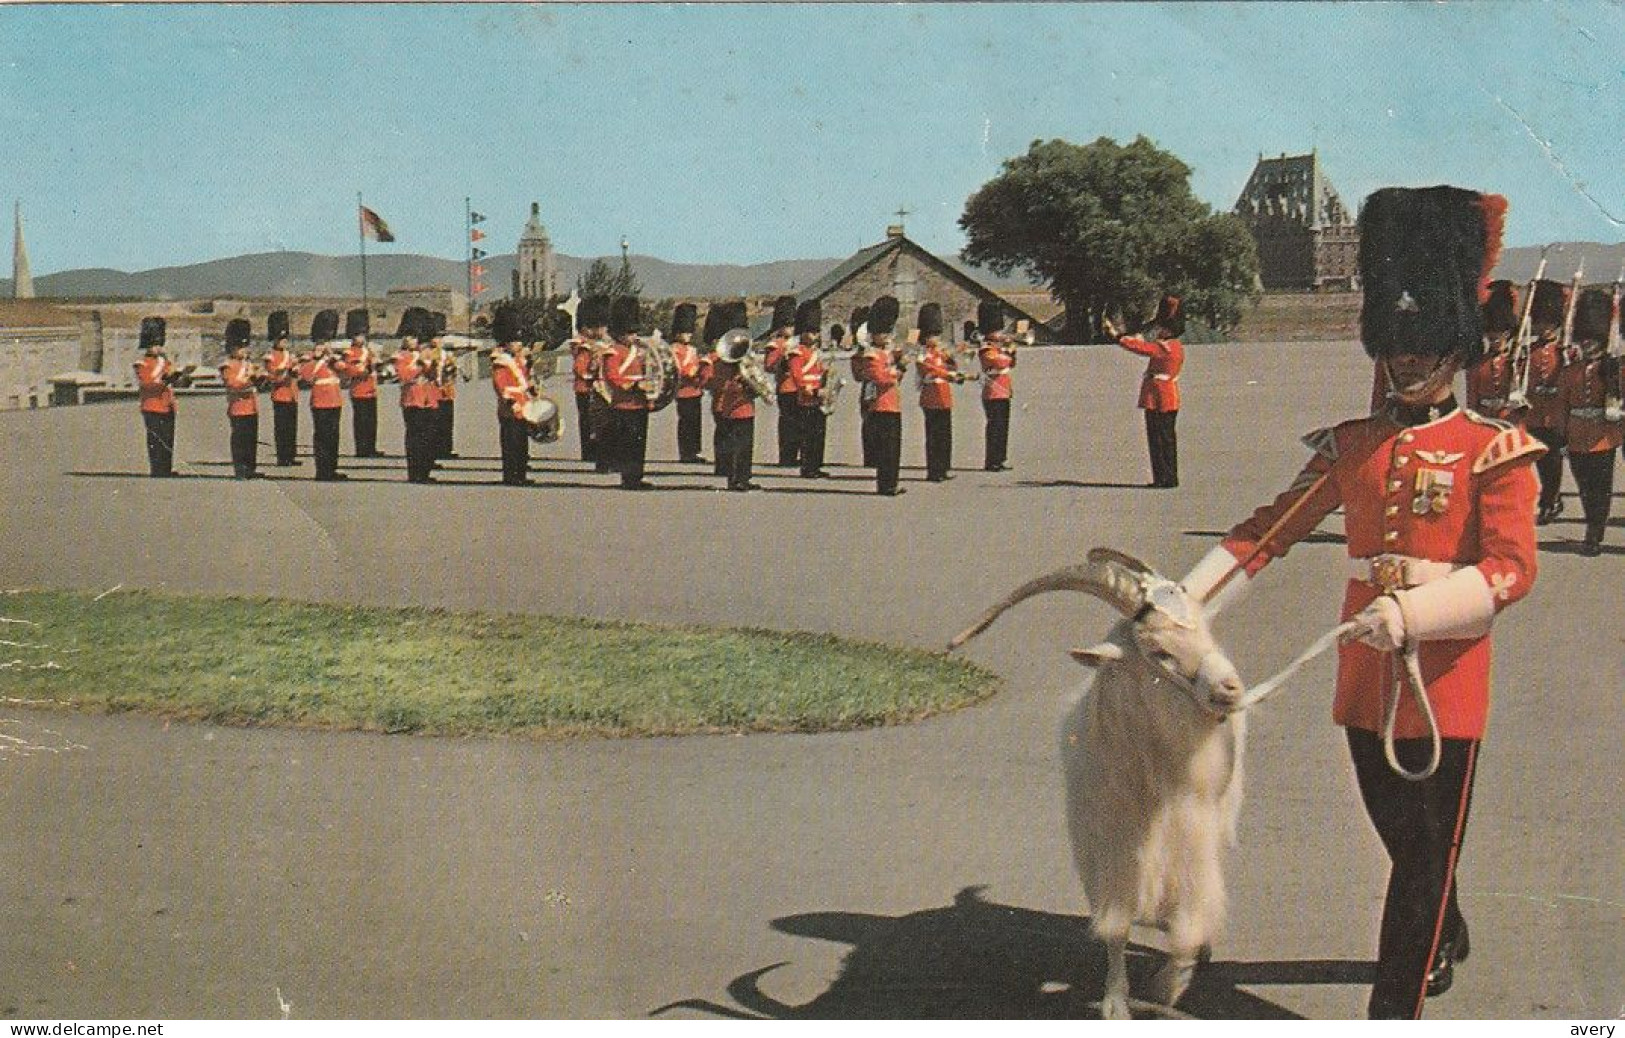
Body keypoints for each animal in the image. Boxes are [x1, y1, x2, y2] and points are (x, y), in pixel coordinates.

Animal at [949, 549, 1248, 1020]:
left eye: (1206, 632)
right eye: (1159, 651)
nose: (1231, 688)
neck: (1150, 779)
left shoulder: (1191, 838)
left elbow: (1189, 920)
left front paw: (1168, 986)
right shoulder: (1108, 848)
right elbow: (1115, 925)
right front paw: (1116, 1003)